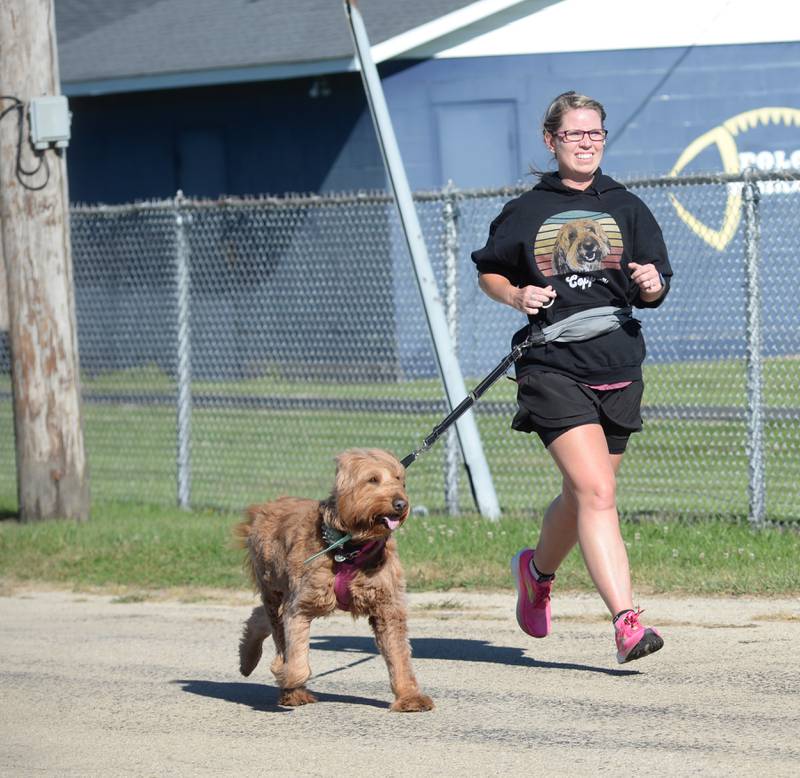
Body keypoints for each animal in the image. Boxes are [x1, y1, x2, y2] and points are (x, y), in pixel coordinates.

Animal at [234, 448, 434, 708]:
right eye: (373, 479)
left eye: (400, 479)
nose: (401, 503)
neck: (349, 548)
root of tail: (264, 508)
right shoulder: (299, 605)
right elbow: (297, 661)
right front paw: (285, 675)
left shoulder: (387, 606)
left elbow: (399, 654)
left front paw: (410, 697)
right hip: (274, 590)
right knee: (276, 630)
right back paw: (286, 687)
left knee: (260, 617)